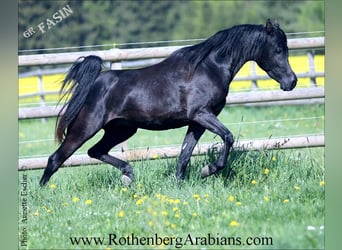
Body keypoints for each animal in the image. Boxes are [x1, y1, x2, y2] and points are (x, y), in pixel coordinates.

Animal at [40, 20, 296, 186]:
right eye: (278, 49)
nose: (291, 81)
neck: (208, 68)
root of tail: (96, 81)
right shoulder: (202, 114)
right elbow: (228, 137)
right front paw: (208, 170)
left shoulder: (197, 122)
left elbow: (184, 155)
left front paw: (181, 184)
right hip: (85, 128)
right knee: (56, 159)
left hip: (122, 130)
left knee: (95, 151)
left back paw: (128, 175)